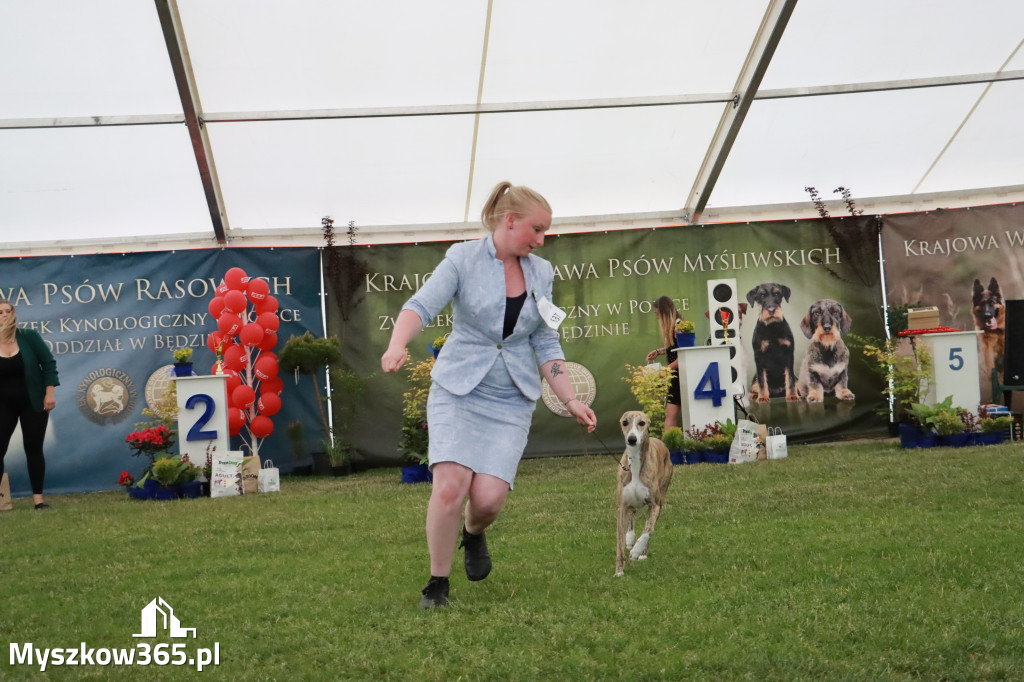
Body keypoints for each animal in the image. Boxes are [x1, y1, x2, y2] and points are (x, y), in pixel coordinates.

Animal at [614, 409, 671, 573]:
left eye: (642, 423)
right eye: (625, 422)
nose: (632, 439)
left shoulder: (655, 505)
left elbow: (648, 530)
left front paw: (636, 551)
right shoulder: (622, 507)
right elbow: (619, 543)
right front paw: (619, 571)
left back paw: (642, 552)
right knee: (632, 514)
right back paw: (630, 538)